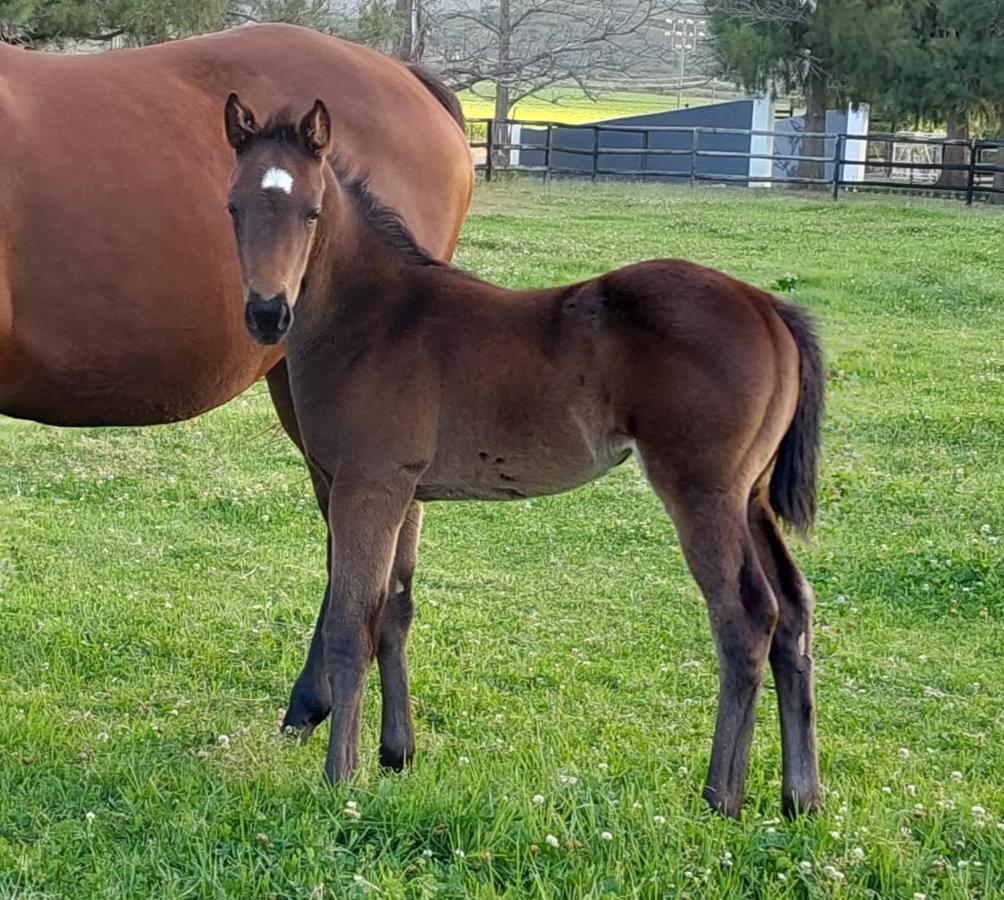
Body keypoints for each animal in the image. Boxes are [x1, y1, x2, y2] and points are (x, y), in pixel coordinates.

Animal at [225, 94, 823, 819]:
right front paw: (397, 755)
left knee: (745, 618)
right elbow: (396, 611)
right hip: (751, 496)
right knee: (794, 609)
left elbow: (351, 624)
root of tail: (767, 306)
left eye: (310, 211)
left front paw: (340, 777)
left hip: (703, 492)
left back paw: (719, 798)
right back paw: (801, 797)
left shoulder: (365, 487)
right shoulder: (407, 493)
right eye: (234, 206)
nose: (266, 314)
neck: (374, 317)